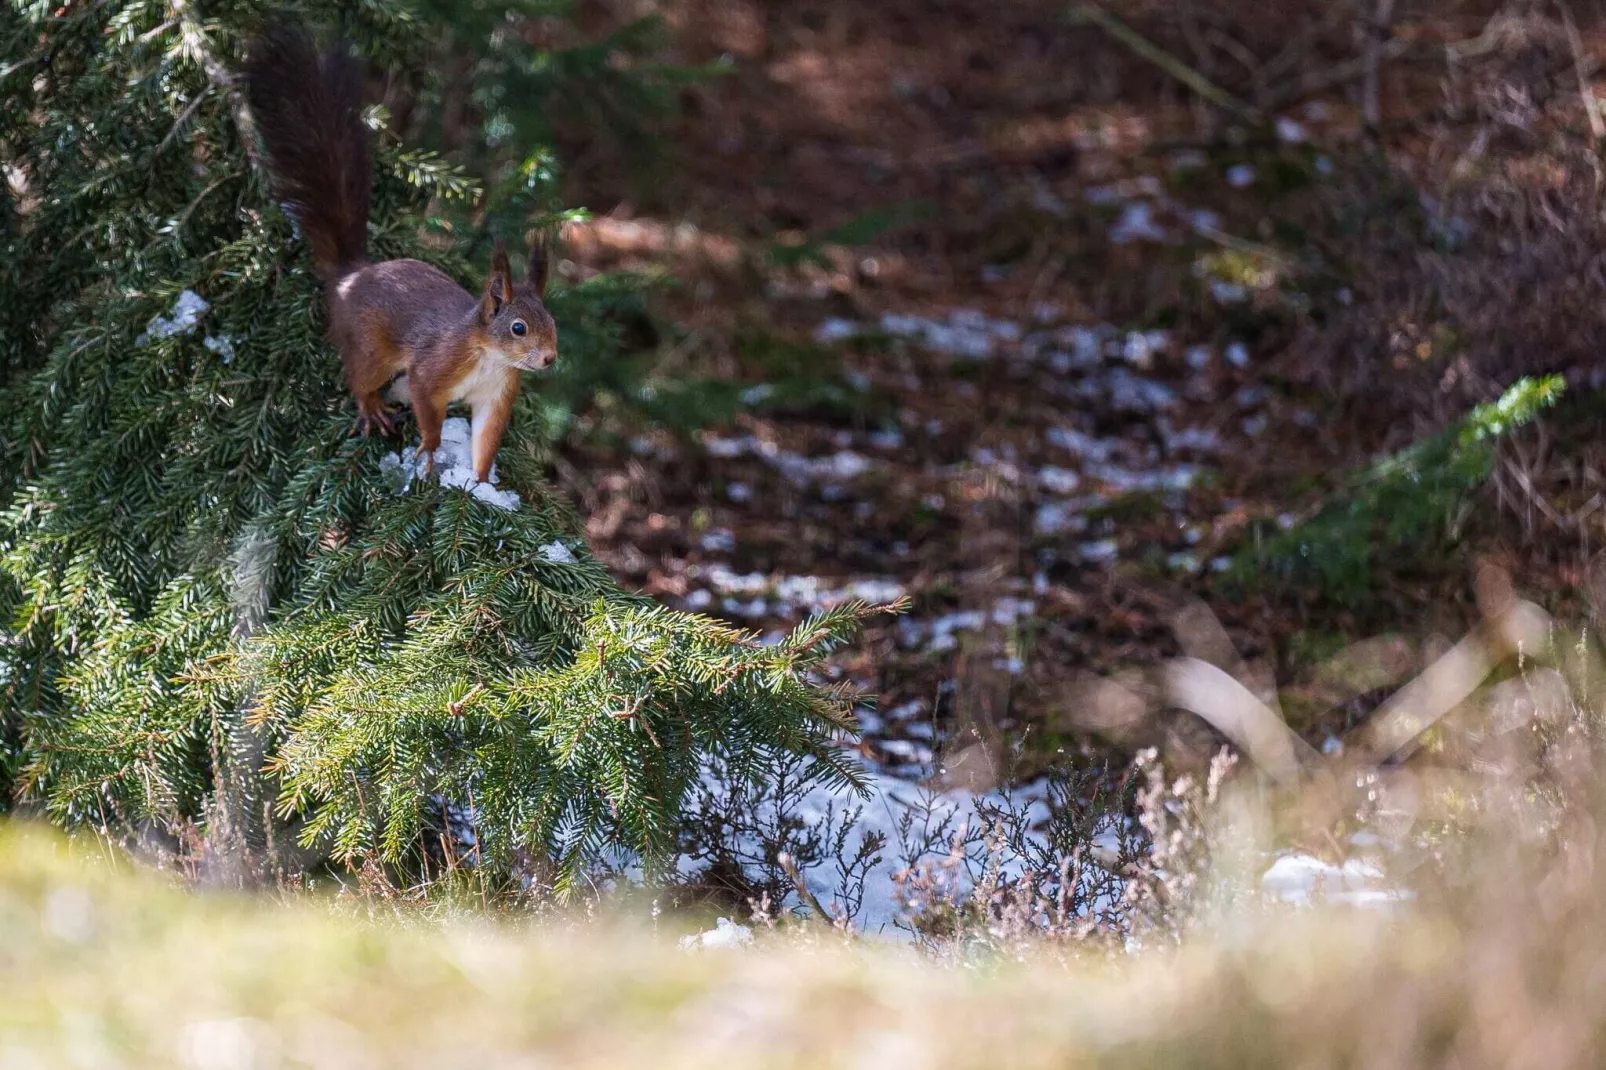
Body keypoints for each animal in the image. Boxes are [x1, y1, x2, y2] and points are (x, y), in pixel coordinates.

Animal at [240, 27, 555, 481]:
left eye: (552, 321)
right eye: (518, 328)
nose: (549, 358)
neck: (490, 358)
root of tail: (349, 275)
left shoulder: (497, 395)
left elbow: (486, 440)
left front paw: (481, 483)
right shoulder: (436, 368)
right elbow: (427, 404)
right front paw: (431, 451)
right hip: (372, 346)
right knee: (360, 375)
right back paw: (372, 406)